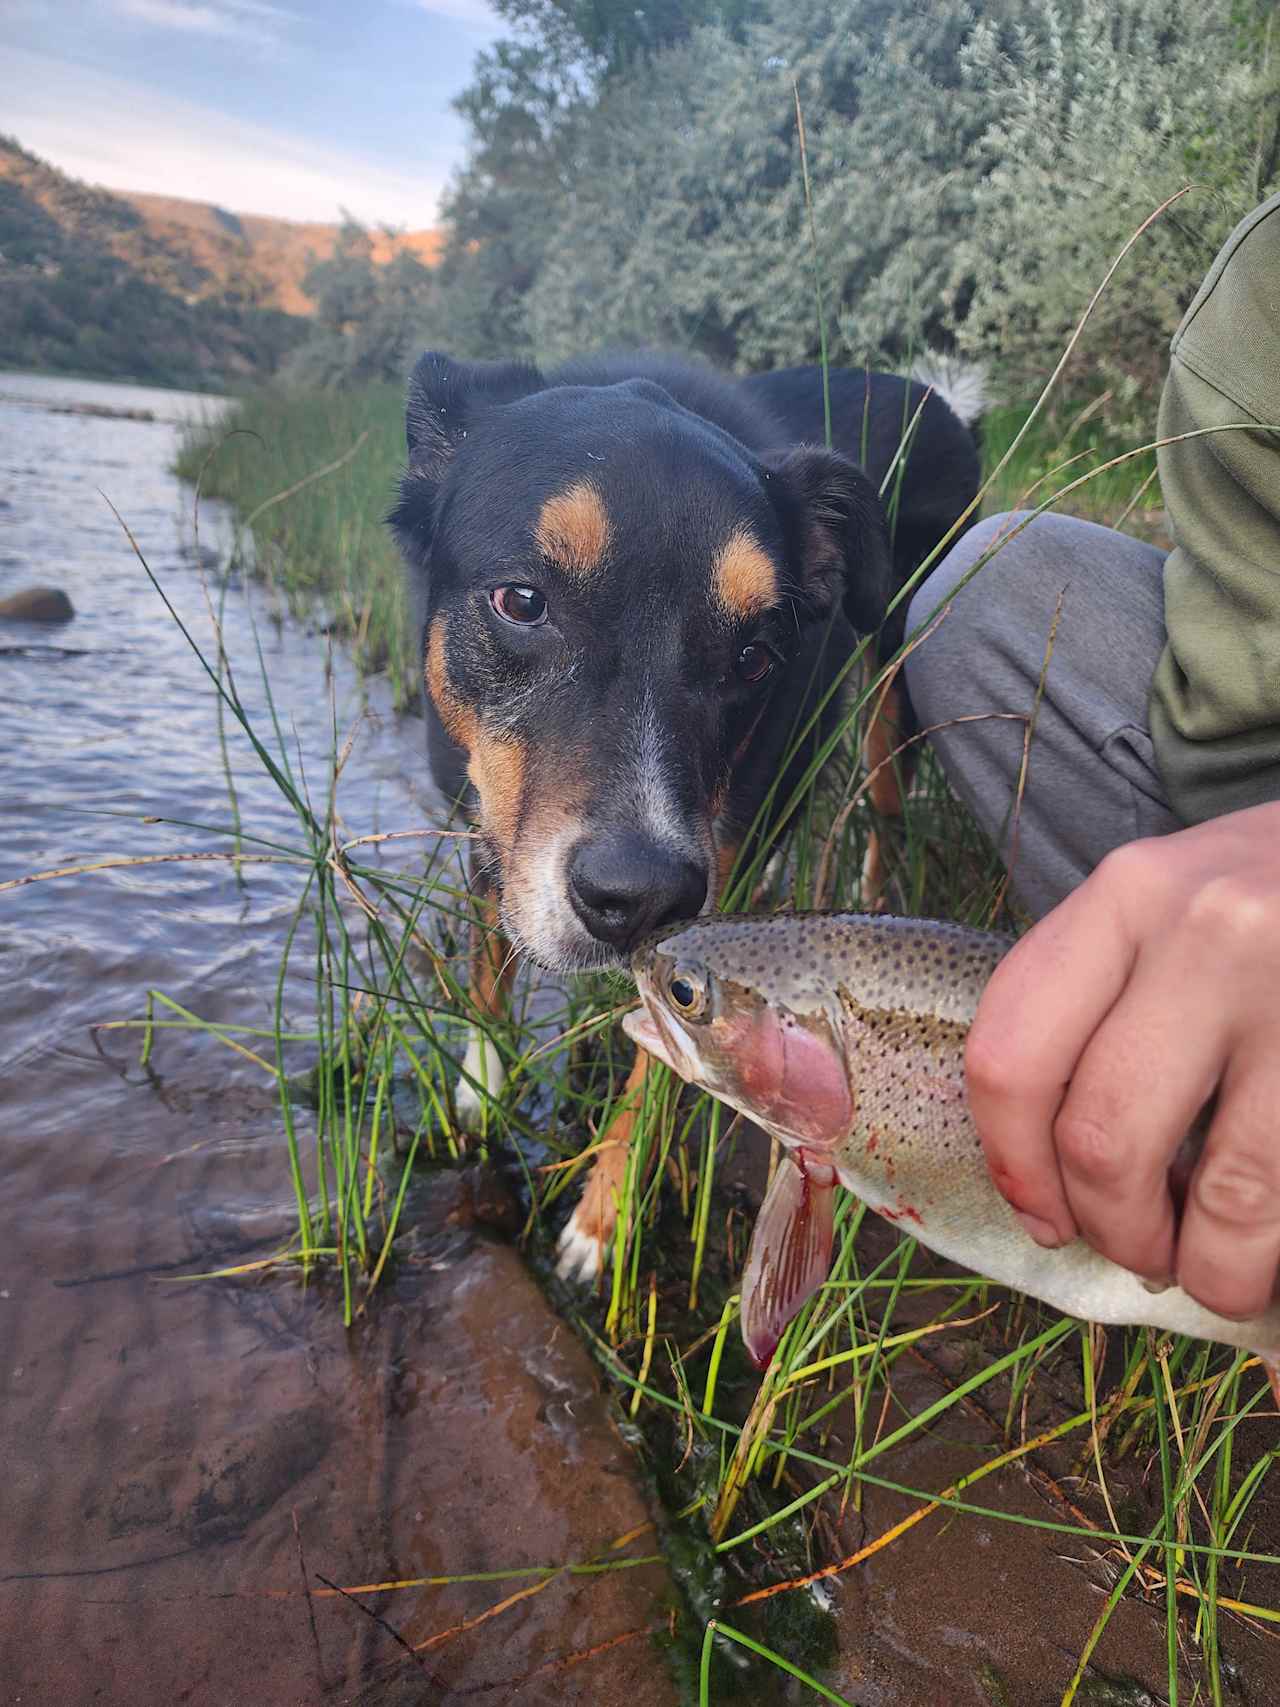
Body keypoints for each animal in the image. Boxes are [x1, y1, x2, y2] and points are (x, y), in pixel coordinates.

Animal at [390, 349, 983, 1283]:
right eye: (521, 599)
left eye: (755, 655)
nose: (640, 901)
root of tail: (944, 401)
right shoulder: (486, 820)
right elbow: (489, 965)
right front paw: (482, 1082)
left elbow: (657, 1070)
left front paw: (601, 1224)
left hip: (896, 684)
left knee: (885, 813)